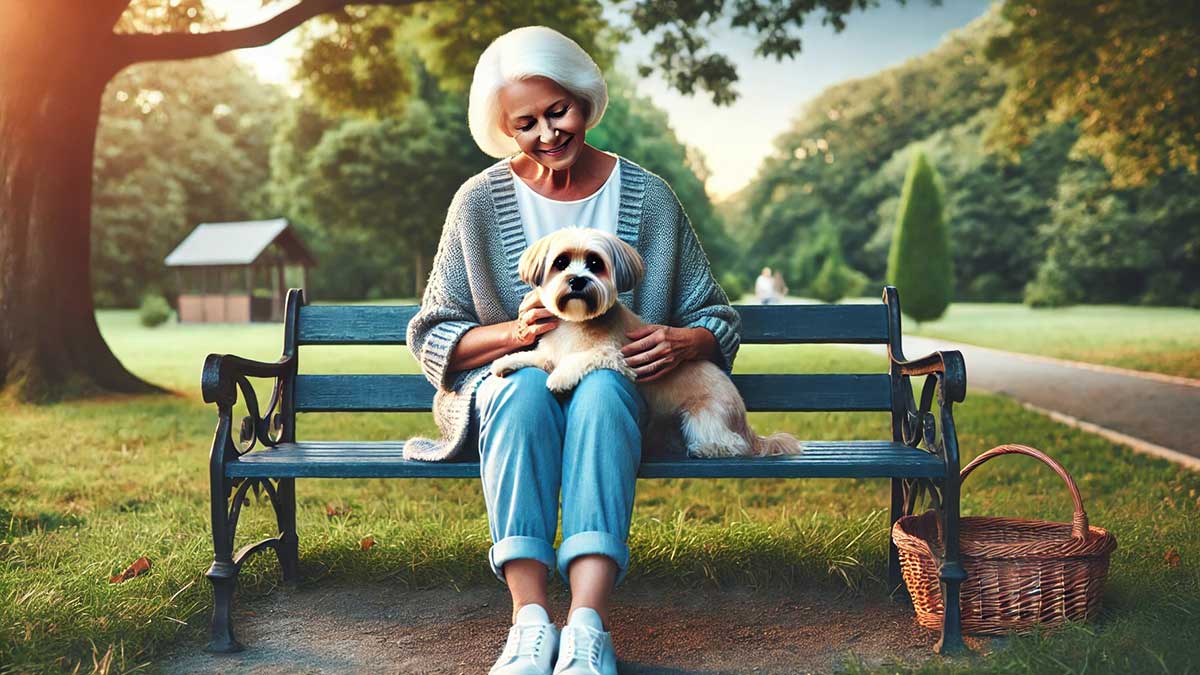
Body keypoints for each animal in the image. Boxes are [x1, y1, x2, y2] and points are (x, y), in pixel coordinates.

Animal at [492, 227, 801, 456]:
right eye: (561, 262)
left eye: (595, 264)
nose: (577, 280)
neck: (576, 323)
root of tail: (745, 423)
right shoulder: (549, 353)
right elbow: (534, 356)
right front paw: (505, 362)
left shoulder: (619, 355)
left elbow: (582, 358)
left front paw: (559, 377)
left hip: (703, 416)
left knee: (731, 444)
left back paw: (707, 448)